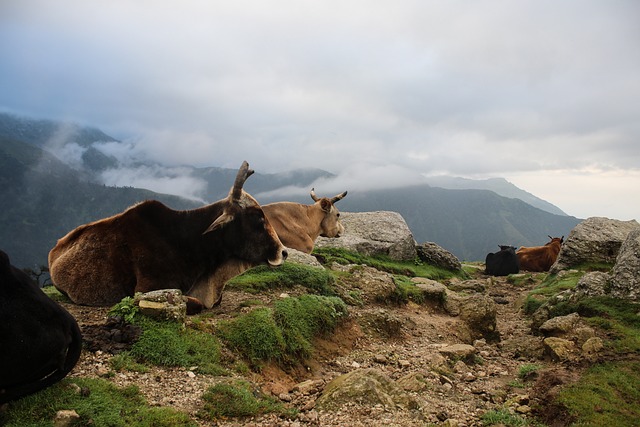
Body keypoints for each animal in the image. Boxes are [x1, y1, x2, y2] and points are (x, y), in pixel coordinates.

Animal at [50, 160, 288, 310]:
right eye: (257, 217)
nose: (284, 252)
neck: (187, 242)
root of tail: (56, 249)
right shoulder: (145, 290)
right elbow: (196, 304)